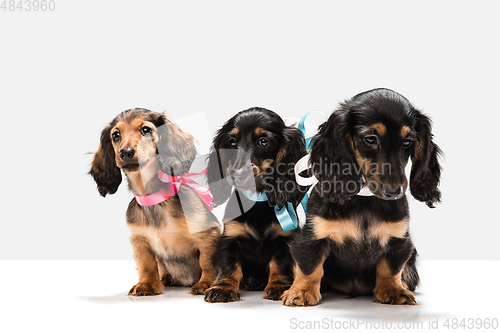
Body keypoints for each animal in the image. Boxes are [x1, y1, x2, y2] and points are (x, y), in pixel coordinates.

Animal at [89, 107, 221, 294]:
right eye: (116, 135)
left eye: (146, 130)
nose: (125, 153)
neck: (154, 199)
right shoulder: (139, 240)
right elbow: (147, 264)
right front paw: (146, 284)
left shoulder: (208, 235)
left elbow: (207, 262)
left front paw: (206, 284)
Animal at [204, 107, 308, 302]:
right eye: (232, 142)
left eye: (263, 141)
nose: (236, 175)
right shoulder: (230, 237)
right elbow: (229, 265)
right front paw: (222, 288)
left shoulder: (285, 238)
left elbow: (280, 264)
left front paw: (278, 285)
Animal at [284, 89, 444, 306]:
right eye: (370, 139)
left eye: (407, 142)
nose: (394, 192)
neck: (364, 199)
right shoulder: (312, 236)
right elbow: (309, 266)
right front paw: (302, 291)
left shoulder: (399, 241)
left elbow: (390, 268)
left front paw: (393, 290)